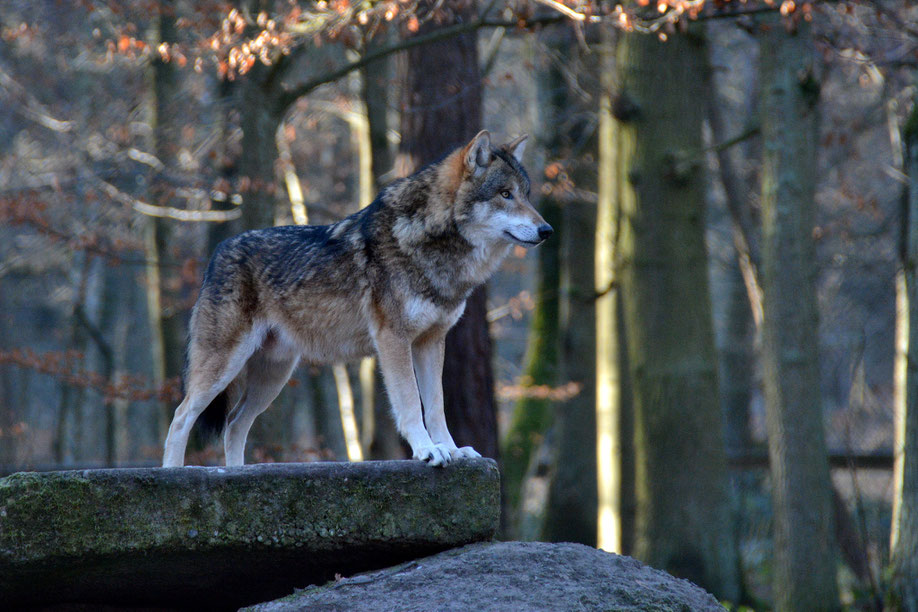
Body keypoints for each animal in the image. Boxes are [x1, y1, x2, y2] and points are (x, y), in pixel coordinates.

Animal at [163, 128, 552, 464]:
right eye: (505, 194)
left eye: (526, 194)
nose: (547, 230)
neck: (430, 242)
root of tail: (217, 253)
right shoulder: (393, 340)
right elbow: (411, 403)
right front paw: (428, 450)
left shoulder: (431, 341)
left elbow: (436, 406)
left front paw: (453, 450)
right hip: (224, 367)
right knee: (181, 417)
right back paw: (174, 473)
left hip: (272, 377)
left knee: (234, 426)